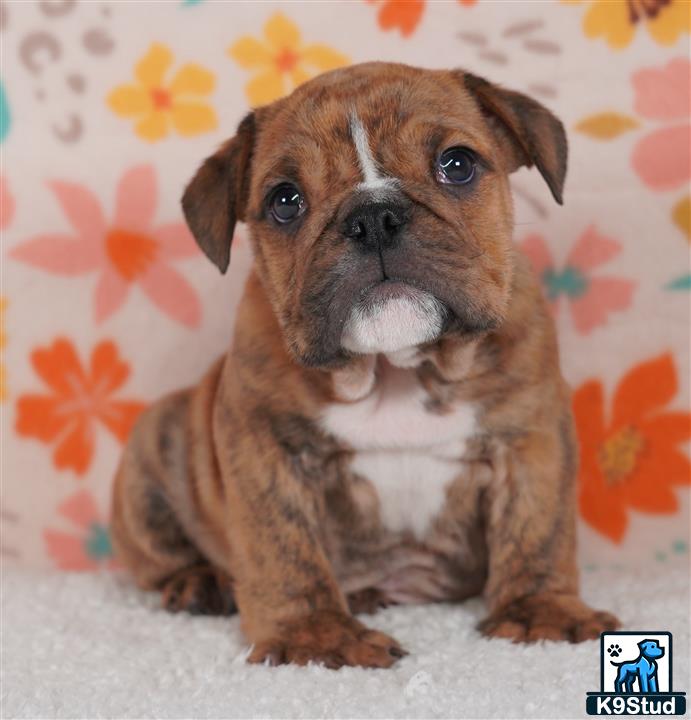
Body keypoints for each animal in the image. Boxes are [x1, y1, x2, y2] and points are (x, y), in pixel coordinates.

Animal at [111, 62, 620, 668]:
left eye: (457, 164)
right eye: (285, 200)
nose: (373, 216)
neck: (397, 367)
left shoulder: (530, 439)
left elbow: (538, 526)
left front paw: (540, 612)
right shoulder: (266, 448)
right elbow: (283, 549)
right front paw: (314, 635)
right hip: (155, 443)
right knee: (158, 558)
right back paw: (199, 582)